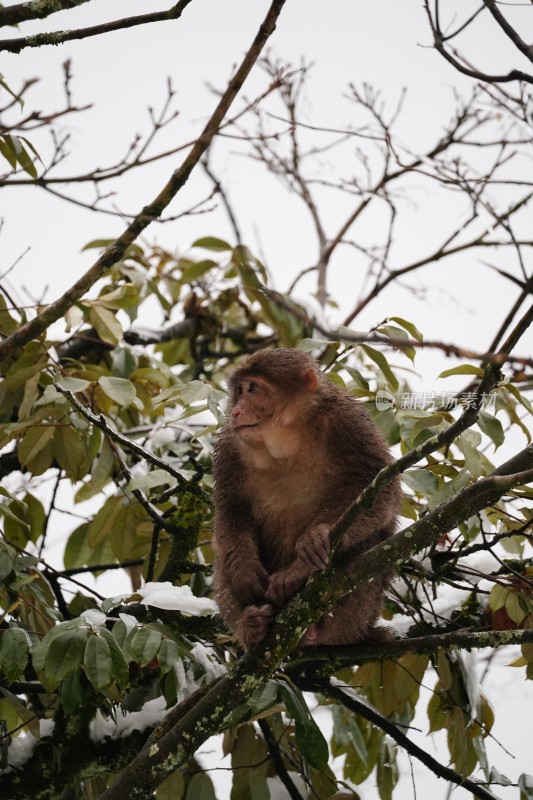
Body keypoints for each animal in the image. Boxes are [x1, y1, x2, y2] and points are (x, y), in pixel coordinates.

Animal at [212, 350, 400, 648]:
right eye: (239, 391)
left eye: (253, 388)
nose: (236, 410)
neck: (286, 437)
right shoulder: (230, 446)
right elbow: (231, 507)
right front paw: (243, 572)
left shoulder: (347, 421)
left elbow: (379, 485)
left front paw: (307, 552)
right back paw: (250, 626)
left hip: (355, 616)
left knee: (369, 539)